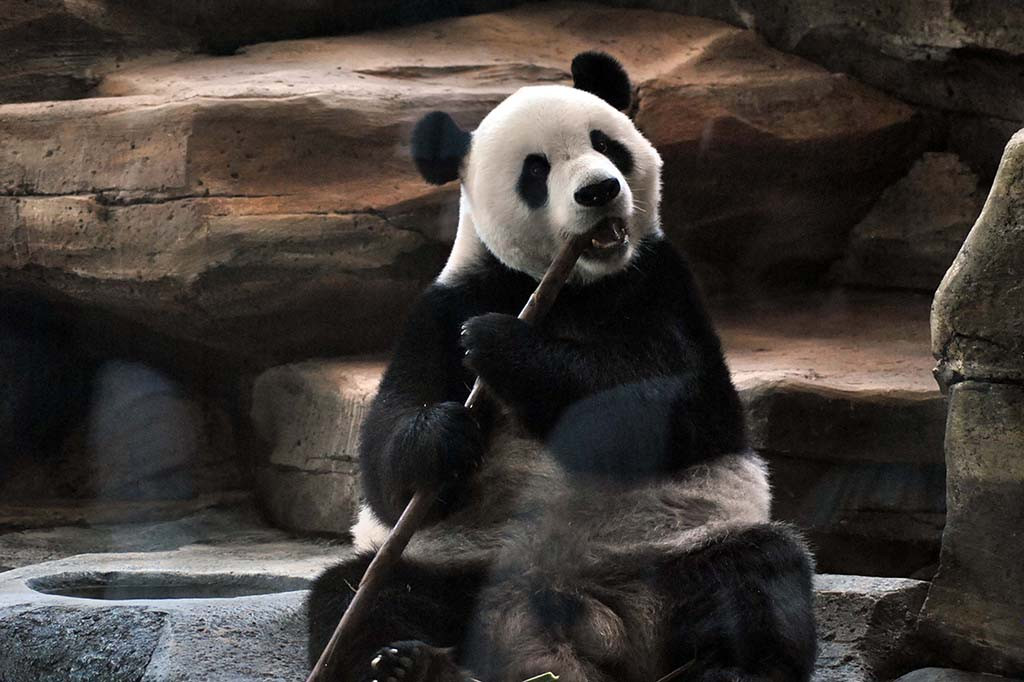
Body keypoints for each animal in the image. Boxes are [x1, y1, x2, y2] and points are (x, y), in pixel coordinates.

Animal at [307, 52, 817, 682]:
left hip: (679, 549)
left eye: (605, 142)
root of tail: (579, 622)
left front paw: (503, 344)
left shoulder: (661, 283)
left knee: (756, 576)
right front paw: (444, 433)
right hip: (457, 571)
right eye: (535, 171)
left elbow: (686, 405)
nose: (599, 191)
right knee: (364, 594)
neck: (574, 286)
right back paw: (407, 664)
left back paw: (732, 669)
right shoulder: (443, 307)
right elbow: (387, 464)